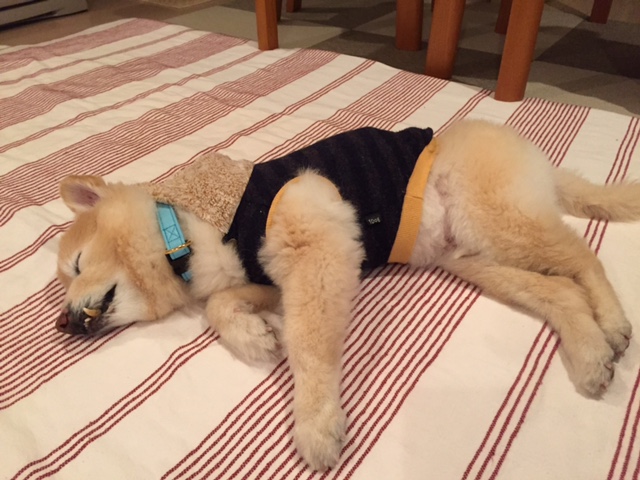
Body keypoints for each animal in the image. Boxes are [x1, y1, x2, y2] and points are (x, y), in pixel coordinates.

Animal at [54, 120, 640, 471]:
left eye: (76, 266)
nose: (62, 324)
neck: (181, 231)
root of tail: (531, 152)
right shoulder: (272, 278)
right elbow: (223, 307)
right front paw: (253, 337)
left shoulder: (318, 251)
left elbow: (310, 346)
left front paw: (316, 424)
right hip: (476, 258)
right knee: (561, 290)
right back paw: (591, 356)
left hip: (497, 220)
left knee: (584, 257)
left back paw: (613, 325)